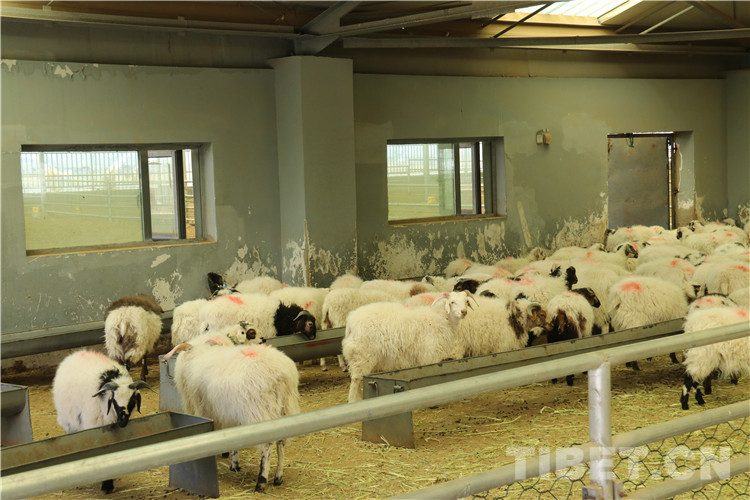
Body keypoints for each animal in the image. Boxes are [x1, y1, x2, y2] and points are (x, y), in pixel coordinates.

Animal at [52, 349, 152, 493]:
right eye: (114, 401)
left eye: (132, 401)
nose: (122, 421)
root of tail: (77, 353)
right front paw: (106, 484)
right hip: (69, 421)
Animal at [173, 341, 300, 491]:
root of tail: (279, 376)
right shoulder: (230, 414)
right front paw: (234, 464)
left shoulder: (203, 409)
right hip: (286, 408)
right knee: (281, 443)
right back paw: (278, 477)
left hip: (258, 411)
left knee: (267, 447)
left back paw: (261, 481)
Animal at [342, 290, 472, 402]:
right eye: (452, 302)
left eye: (466, 301)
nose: (464, 312)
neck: (441, 318)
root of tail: (350, 321)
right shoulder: (430, 354)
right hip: (362, 354)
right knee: (356, 379)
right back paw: (354, 400)